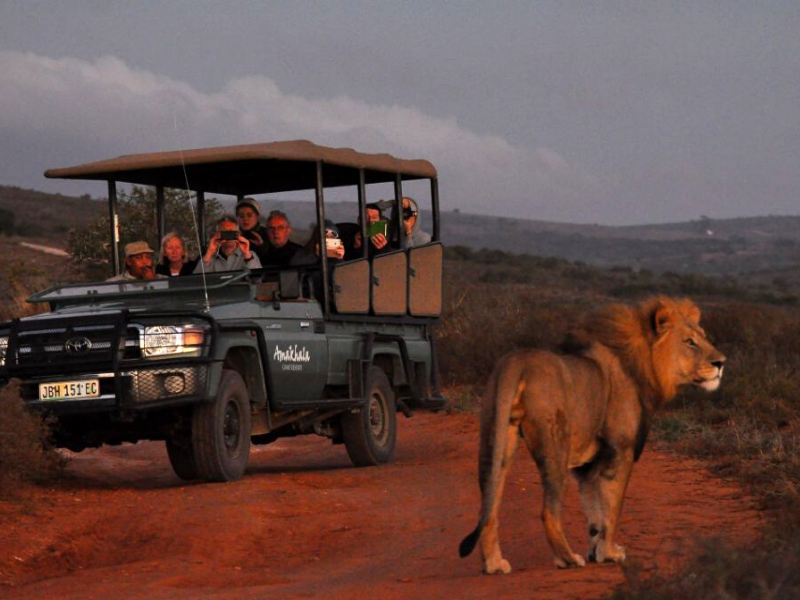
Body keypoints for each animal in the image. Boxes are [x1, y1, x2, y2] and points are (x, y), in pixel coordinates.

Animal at [456, 298, 724, 576]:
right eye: (689, 342)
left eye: (703, 336)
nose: (721, 363)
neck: (641, 365)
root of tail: (517, 361)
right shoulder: (620, 452)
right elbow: (613, 508)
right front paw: (610, 553)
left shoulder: (590, 466)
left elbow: (595, 511)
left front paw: (597, 551)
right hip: (555, 446)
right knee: (549, 512)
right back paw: (567, 558)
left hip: (496, 439)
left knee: (489, 508)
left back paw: (494, 564)